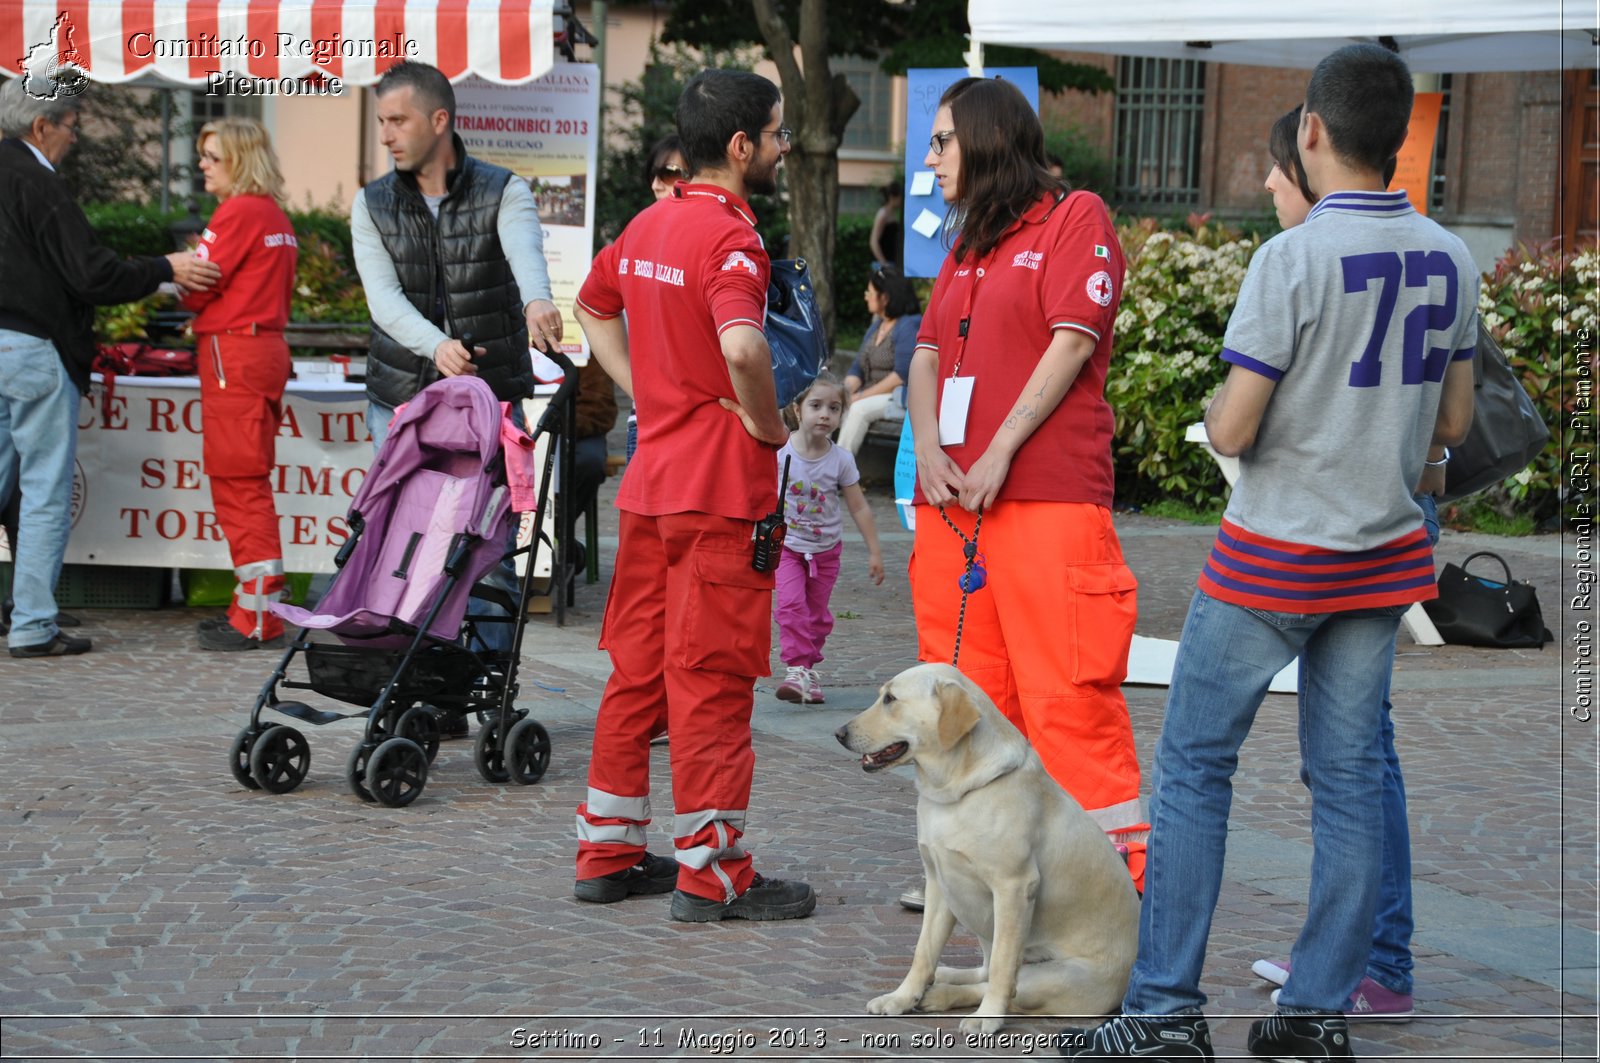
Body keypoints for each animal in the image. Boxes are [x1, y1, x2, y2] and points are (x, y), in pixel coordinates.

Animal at [838, 659, 1139, 1030]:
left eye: (890, 699)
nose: (839, 733)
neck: (954, 792)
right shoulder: (939, 883)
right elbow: (923, 952)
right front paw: (901, 998)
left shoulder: (1014, 888)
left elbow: (1001, 968)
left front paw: (987, 1018)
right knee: (978, 972)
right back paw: (942, 979)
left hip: (1054, 975)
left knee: (1003, 985)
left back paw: (945, 995)